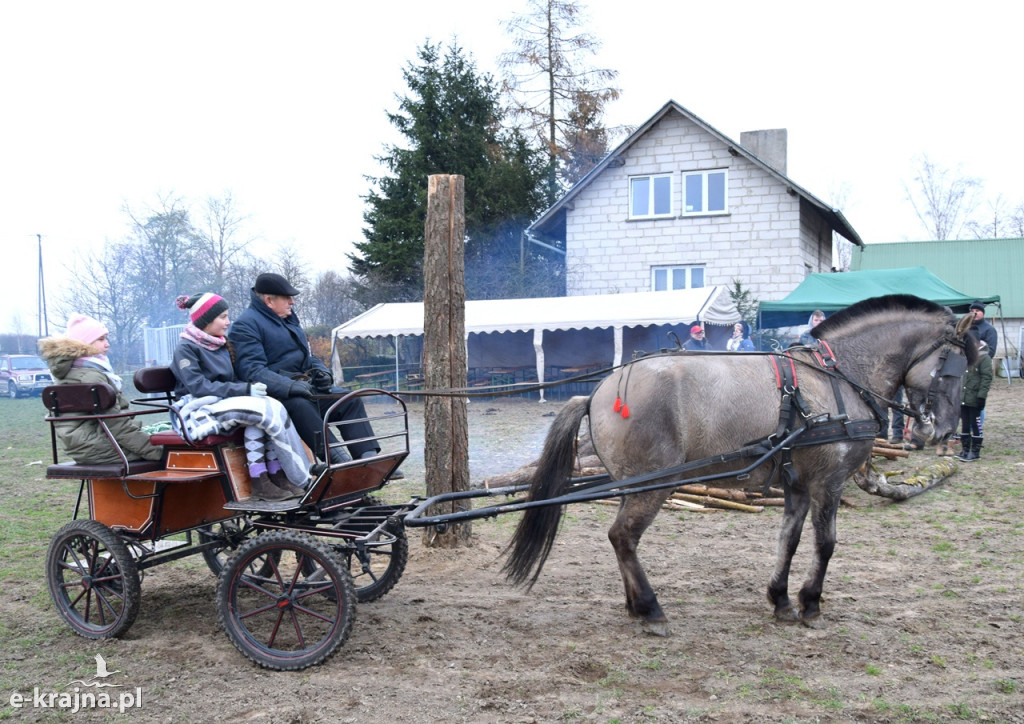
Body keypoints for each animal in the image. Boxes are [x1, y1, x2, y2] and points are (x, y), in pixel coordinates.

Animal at [503, 294, 974, 634]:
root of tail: (599, 391)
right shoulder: (830, 482)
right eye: (953, 366)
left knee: (623, 541)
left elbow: (789, 540)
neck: (834, 381)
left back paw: (635, 605)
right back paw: (652, 610)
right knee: (623, 536)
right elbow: (825, 544)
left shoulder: (798, 484)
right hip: (655, 484)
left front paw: (781, 599)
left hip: (633, 484)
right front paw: (811, 603)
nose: (944, 429)